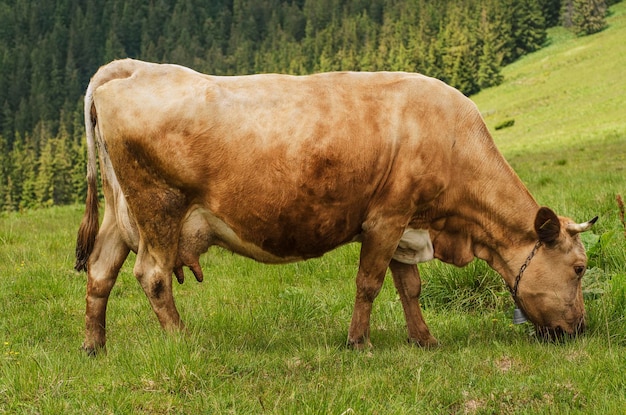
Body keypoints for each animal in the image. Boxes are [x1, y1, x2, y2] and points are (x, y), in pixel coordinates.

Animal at [74, 60, 596, 356]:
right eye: (579, 268)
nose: (581, 328)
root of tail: (132, 68)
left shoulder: (407, 224)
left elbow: (410, 287)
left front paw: (424, 340)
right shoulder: (386, 217)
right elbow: (370, 284)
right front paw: (359, 343)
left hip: (122, 216)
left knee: (100, 272)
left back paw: (94, 347)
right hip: (159, 207)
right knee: (153, 276)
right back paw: (184, 342)